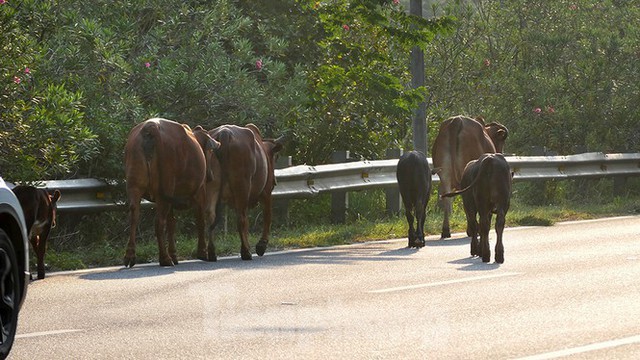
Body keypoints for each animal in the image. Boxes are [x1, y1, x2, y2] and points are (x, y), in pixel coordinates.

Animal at [124, 118, 219, 268]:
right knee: (159, 222)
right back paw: (164, 258)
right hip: (164, 191)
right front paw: (202, 252)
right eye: (210, 152)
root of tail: (151, 126)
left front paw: (174, 254)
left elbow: (171, 224)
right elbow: (200, 221)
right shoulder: (200, 193)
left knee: (134, 216)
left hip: (135, 185)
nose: (211, 175)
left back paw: (130, 256)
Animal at [205, 124, 282, 262]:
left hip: (212, 186)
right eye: (275, 157)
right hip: (242, 187)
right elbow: (267, 216)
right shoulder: (266, 192)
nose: (275, 181)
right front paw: (261, 245)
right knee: (241, 219)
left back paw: (212, 252)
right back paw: (246, 251)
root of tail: (224, 133)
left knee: (211, 215)